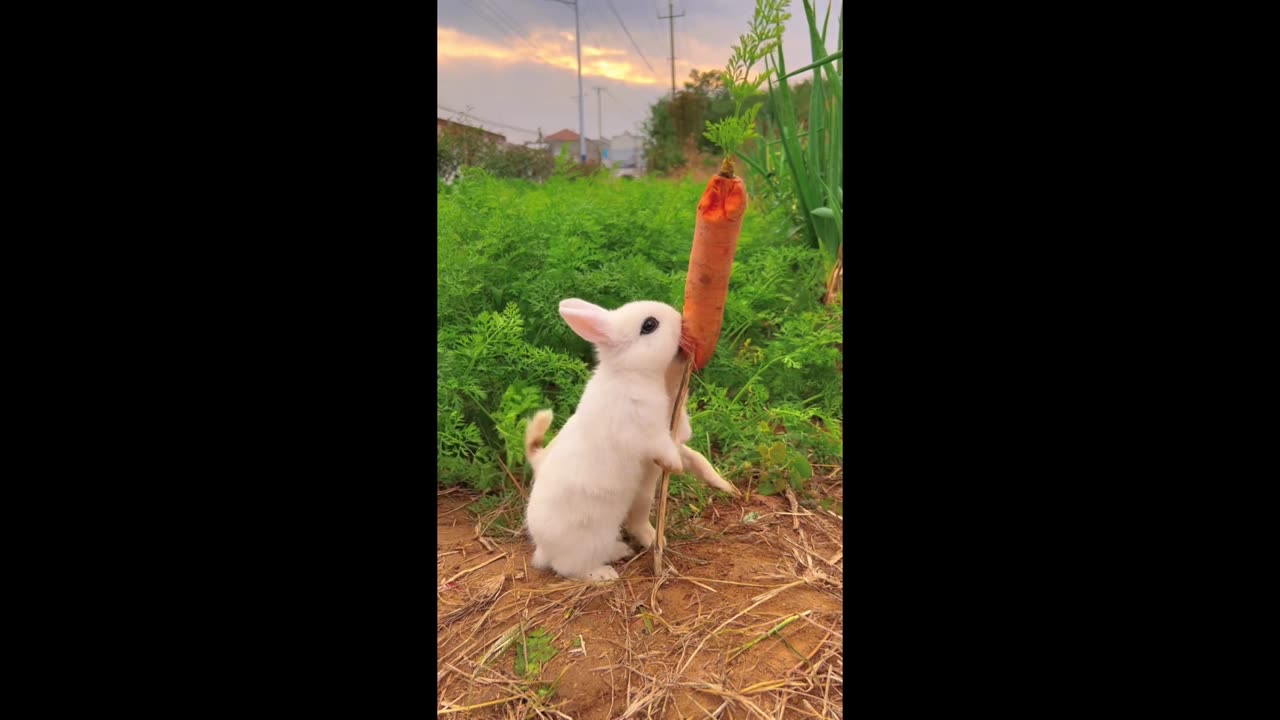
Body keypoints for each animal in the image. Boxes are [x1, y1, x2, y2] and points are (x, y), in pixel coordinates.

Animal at [522, 298, 742, 584]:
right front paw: (675, 467)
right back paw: (605, 573)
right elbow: (666, 451)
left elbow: (697, 459)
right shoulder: (648, 435)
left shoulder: (672, 438)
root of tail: (543, 548)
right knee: (569, 568)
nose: (679, 317)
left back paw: (621, 550)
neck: (632, 374)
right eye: (649, 325)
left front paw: (723, 485)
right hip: (589, 542)